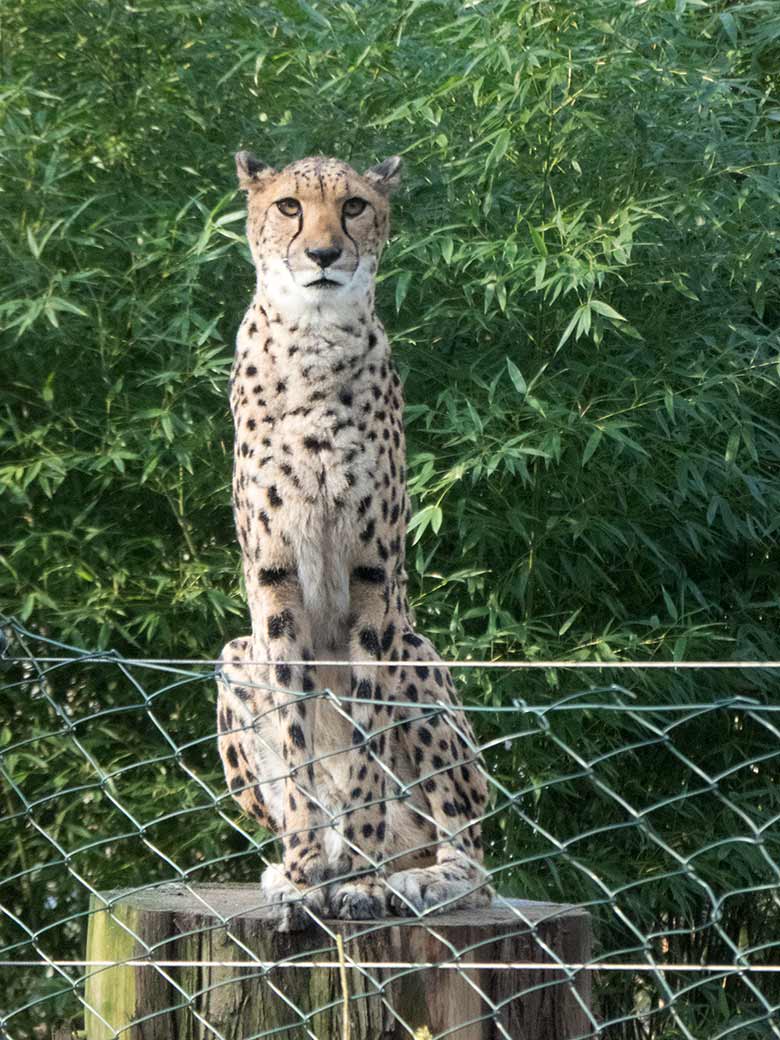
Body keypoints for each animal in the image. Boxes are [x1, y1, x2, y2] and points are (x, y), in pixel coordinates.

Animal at [217, 151, 490, 927]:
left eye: (355, 206)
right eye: (288, 206)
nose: (323, 254)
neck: (313, 338)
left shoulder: (374, 585)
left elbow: (364, 732)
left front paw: (362, 883)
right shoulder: (274, 587)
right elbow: (298, 741)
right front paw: (306, 871)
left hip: (419, 654)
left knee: (471, 855)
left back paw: (414, 877)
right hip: (232, 658)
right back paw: (315, 860)